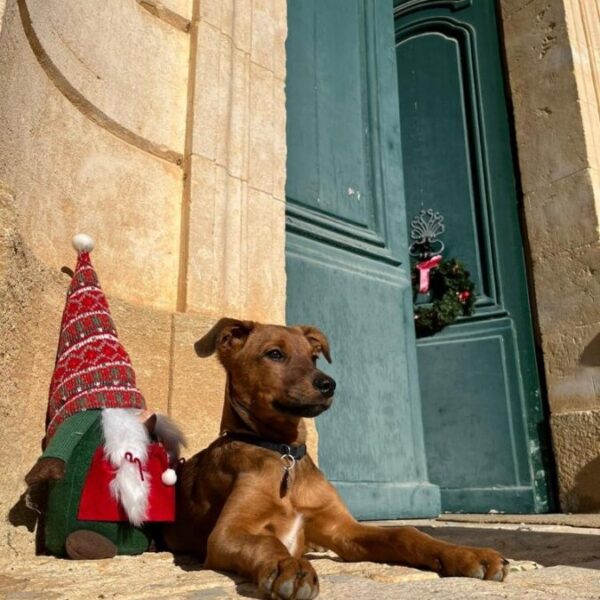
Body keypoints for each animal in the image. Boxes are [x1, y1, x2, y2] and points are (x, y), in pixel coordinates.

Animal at [163, 318, 506, 596]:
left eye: (313, 357)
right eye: (274, 354)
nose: (328, 384)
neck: (285, 455)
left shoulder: (342, 530)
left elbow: (406, 532)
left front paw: (465, 554)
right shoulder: (226, 534)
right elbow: (266, 541)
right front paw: (290, 566)